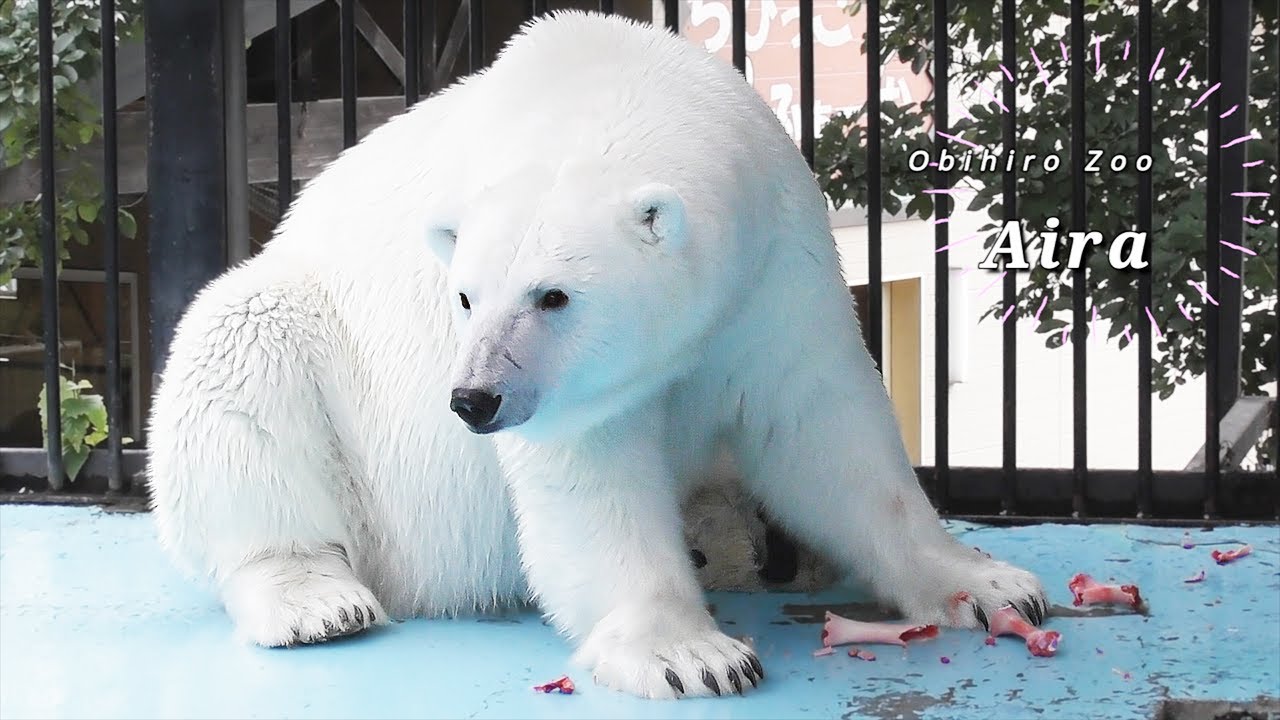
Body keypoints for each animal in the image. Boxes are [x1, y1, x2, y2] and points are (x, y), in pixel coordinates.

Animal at [146, 10, 1048, 700]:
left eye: (553, 296)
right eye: (463, 296)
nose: (474, 400)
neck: (604, 82)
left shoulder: (773, 264)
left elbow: (823, 428)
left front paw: (995, 585)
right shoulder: (571, 390)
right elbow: (592, 478)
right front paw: (692, 656)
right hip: (318, 383)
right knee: (237, 358)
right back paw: (317, 601)